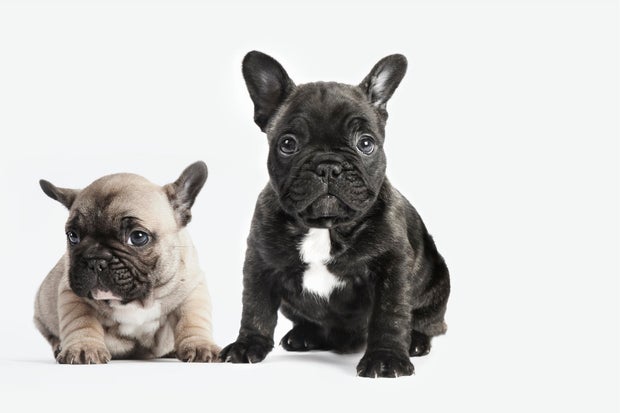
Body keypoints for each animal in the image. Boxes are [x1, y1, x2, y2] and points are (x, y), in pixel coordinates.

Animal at [222, 51, 450, 376]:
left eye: (365, 143)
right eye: (288, 144)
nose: (328, 166)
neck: (325, 227)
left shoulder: (392, 266)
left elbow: (390, 314)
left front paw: (386, 357)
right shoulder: (260, 262)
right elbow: (256, 307)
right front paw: (247, 344)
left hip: (437, 284)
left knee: (427, 322)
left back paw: (416, 341)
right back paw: (304, 335)